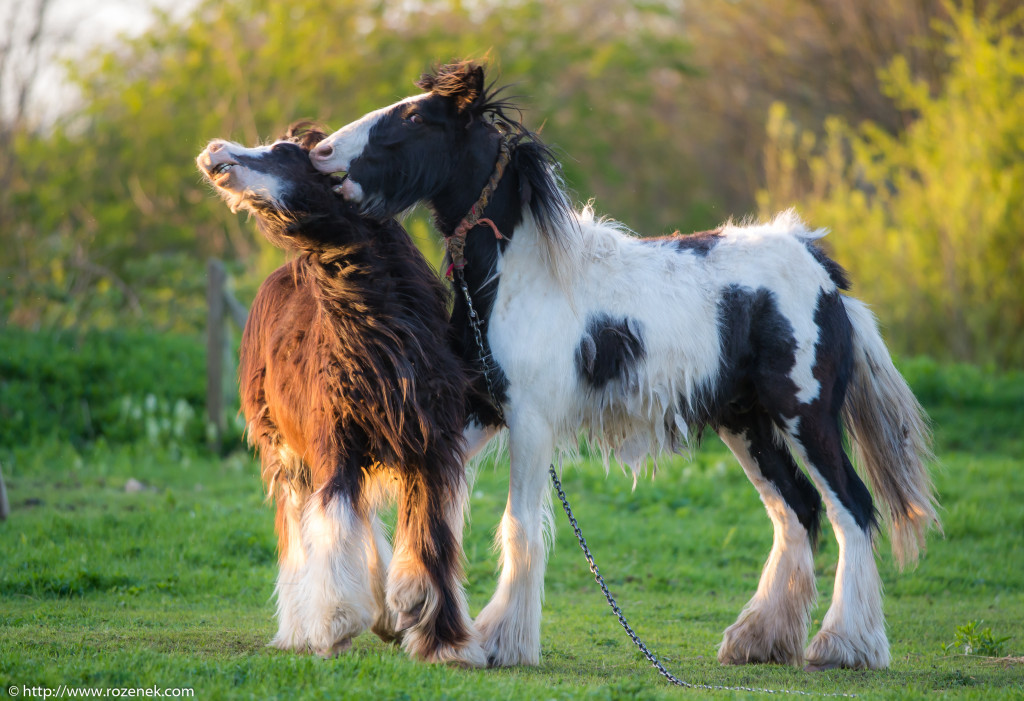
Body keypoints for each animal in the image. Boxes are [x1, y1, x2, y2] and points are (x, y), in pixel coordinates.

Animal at [307, 62, 937, 671]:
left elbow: (518, 526)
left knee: (850, 507)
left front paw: (501, 641)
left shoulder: (530, 422)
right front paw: (396, 611)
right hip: (746, 422)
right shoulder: (477, 411)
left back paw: (845, 645)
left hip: (805, 415)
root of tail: (819, 266)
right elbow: (423, 498)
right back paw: (758, 639)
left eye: (416, 117)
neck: (516, 278)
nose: (321, 153)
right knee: (797, 511)